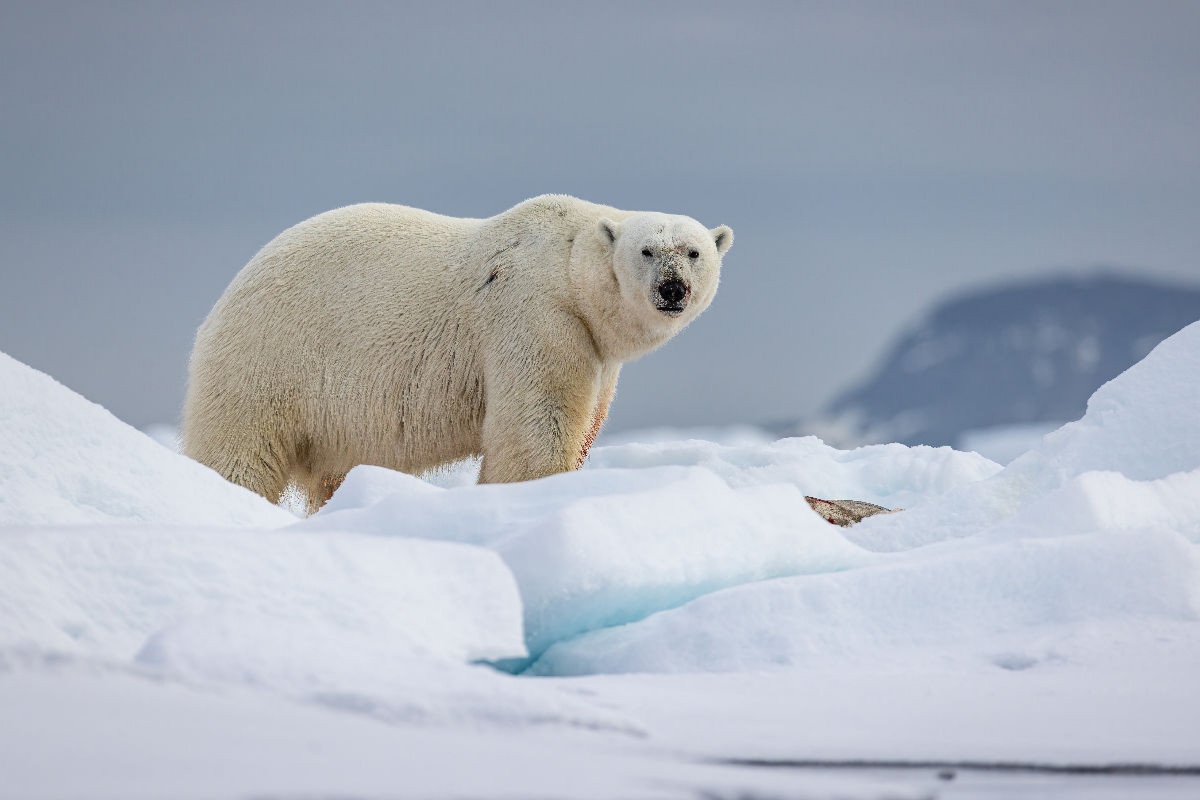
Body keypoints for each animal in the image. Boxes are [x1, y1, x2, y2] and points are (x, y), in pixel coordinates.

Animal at [181, 194, 729, 506]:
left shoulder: (593, 347)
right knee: (240, 453)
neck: (568, 266)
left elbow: (586, 419)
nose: (672, 288)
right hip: (266, 360)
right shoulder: (535, 315)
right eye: (647, 250)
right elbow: (537, 423)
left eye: (694, 252)